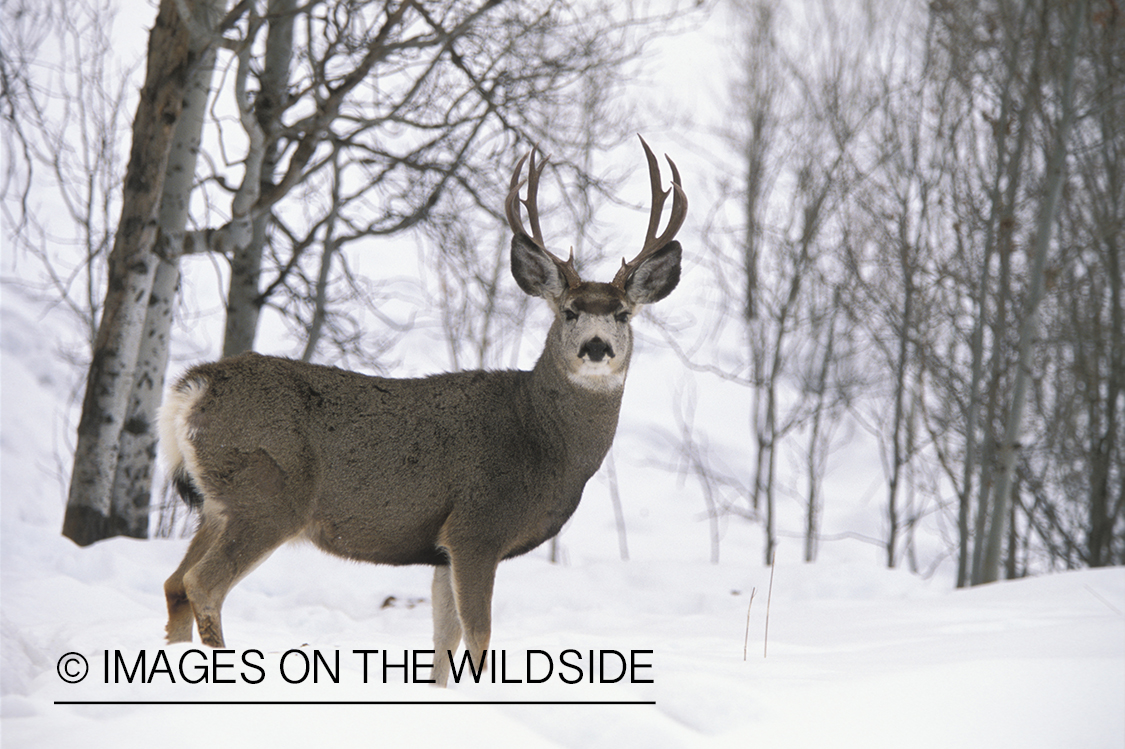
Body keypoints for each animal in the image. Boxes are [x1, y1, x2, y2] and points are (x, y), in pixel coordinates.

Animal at [158, 134, 684, 683]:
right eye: (569, 311)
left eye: (622, 313)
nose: (596, 347)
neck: (540, 440)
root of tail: (194, 387)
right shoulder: (476, 528)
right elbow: (478, 637)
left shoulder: (440, 550)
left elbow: (442, 644)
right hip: (266, 494)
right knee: (202, 584)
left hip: (218, 504)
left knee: (173, 584)